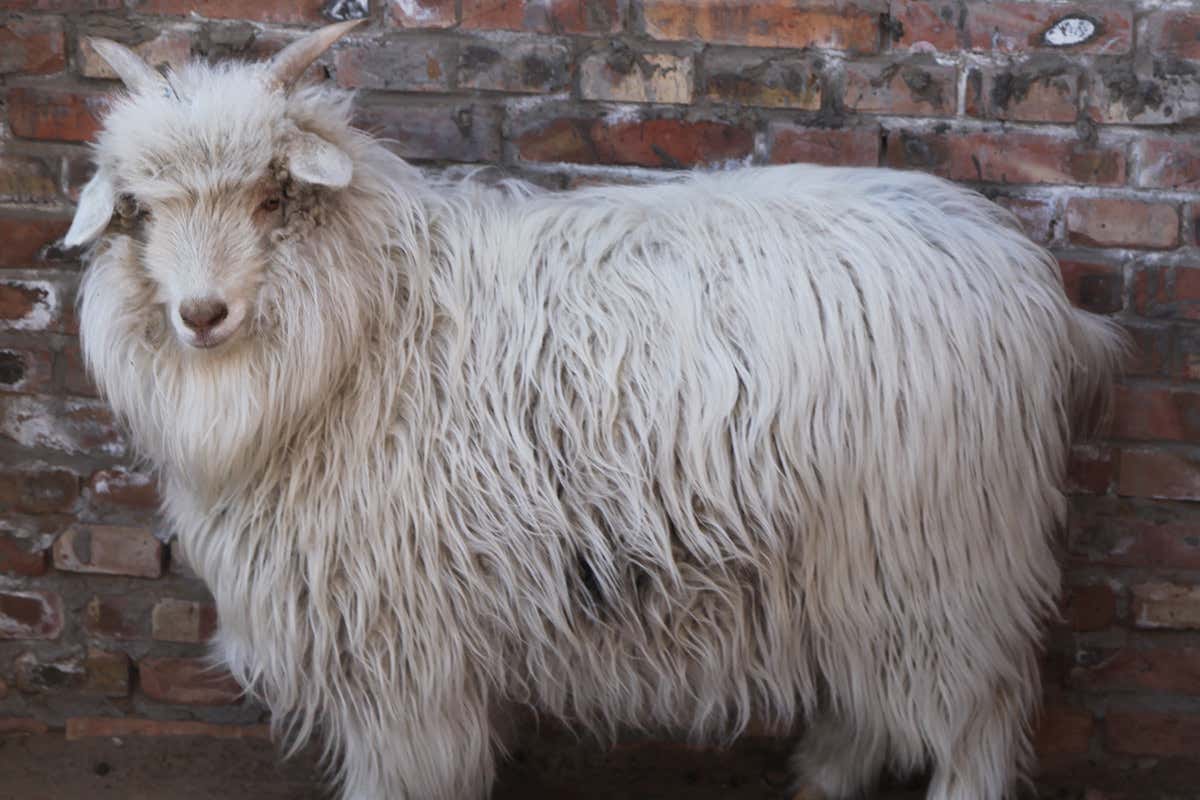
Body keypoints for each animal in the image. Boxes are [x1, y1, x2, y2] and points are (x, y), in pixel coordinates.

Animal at [67, 21, 1125, 800]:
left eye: (274, 196)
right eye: (138, 212)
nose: (202, 315)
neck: (377, 315)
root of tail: (1042, 292)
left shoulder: (401, 643)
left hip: (945, 557)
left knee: (980, 721)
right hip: (866, 559)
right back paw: (822, 775)